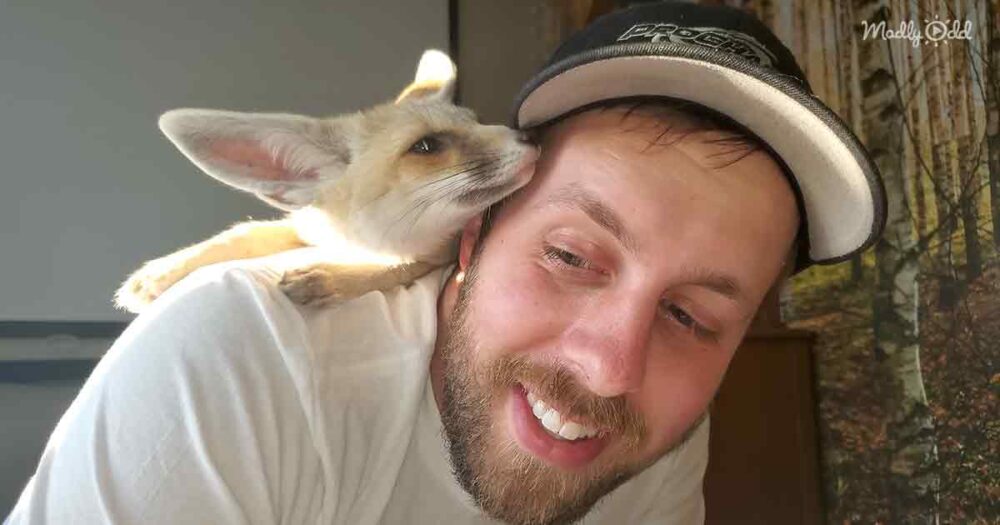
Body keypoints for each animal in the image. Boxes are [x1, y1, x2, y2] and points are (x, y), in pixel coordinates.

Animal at [114, 50, 538, 313]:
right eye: (427, 145)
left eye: (477, 120)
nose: (531, 137)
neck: (346, 240)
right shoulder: (303, 223)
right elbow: (242, 234)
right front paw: (163, 270)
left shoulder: (438, 255)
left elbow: (394, 267)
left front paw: (330, 277)